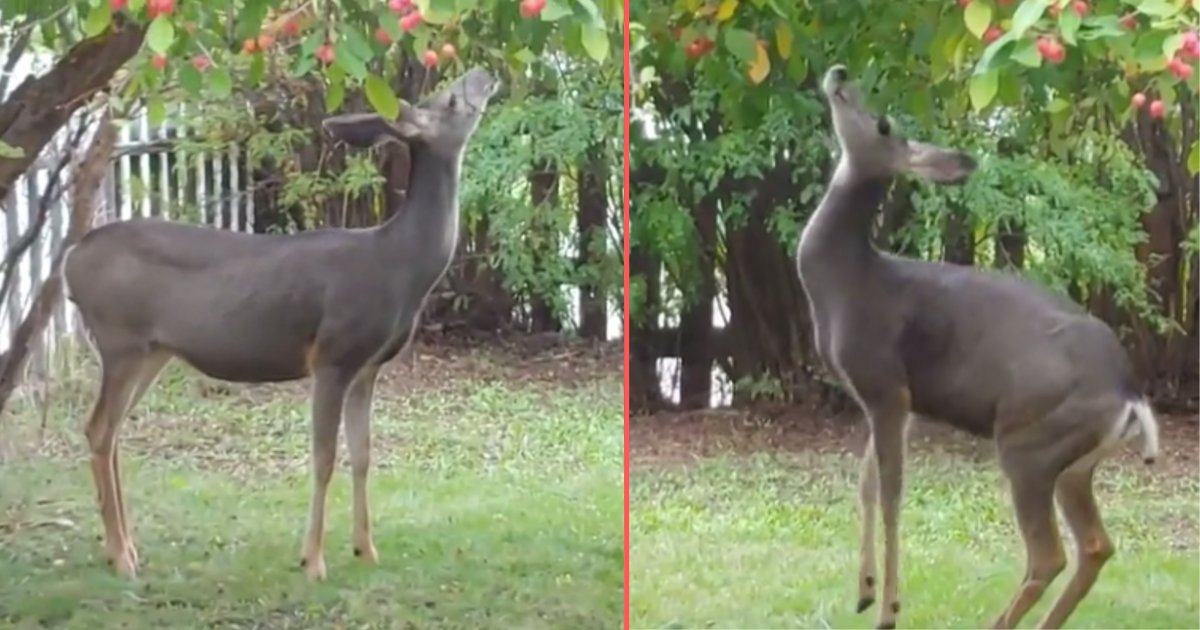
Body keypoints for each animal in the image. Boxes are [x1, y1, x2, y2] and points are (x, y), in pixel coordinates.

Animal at [62, 66, 501, 578]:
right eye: (450, 99)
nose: (486, 73)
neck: (400, 265)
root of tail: (71, 259)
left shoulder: (369, 366)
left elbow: (364, 454)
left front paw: (366, 549)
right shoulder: (332, 355)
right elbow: (324, 458)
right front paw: (313, 560)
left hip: (151, 351)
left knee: (110, 433)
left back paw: (126, 548)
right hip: (120, 340)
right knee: (99, 429)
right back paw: (121, 556)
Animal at [796, 65, 1161, 628]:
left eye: (883, 123)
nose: (839, 73)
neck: (847, 282)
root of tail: (1130, 393)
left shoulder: (885, 384)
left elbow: (892, 494)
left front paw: (888, 609)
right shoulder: (898, 400)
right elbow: (866, 484)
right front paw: (864, 591)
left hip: (1029, 441)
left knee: (1048, 554)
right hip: (1073, 463)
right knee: (1096, 545)